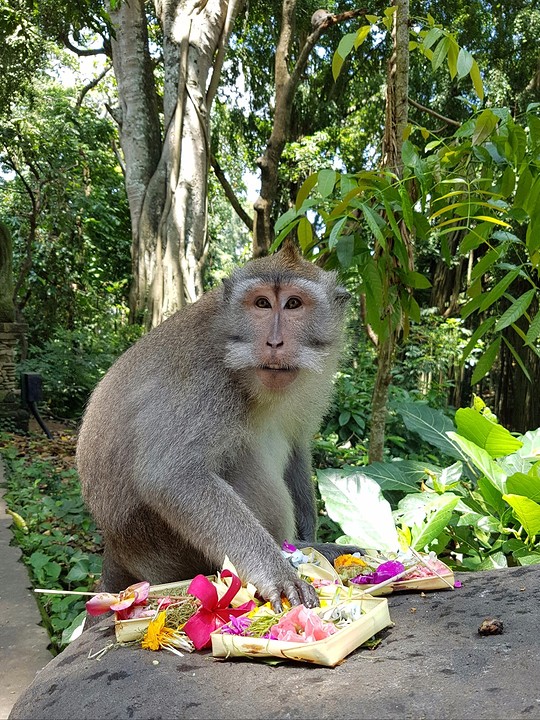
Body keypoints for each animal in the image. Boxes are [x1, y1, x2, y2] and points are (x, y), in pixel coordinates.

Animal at [77, 241, 358, 611]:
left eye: (294, 304)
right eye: (262, 303)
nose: (274, 343)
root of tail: (115, 550)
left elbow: (297, 445)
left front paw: (308, 538)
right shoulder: (204, 378)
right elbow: (173, 476)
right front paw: (278, 573)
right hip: (166, 549)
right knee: (241, 455)